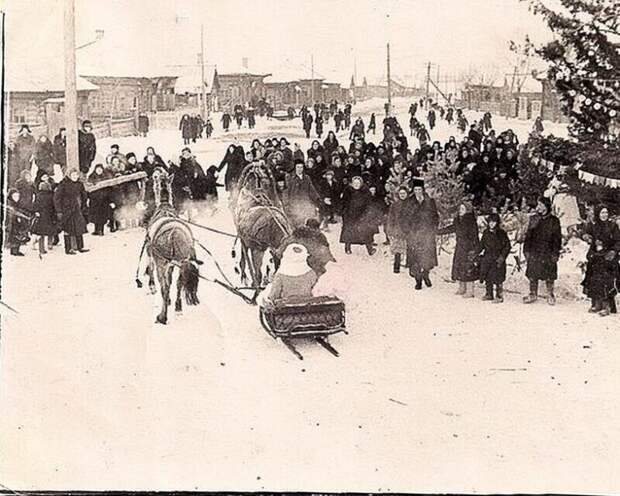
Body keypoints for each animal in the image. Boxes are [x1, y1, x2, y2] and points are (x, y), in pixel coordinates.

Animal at [136, 167, 201, 326]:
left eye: (153, 181)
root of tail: (174, 233)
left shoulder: (153, 255)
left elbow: (155, 274)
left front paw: (153, 286)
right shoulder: (171, 265)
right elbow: (172, 282)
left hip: (162, 262)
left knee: (164, 286)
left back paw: (162, 316)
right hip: (181, 263)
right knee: (179, 283)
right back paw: (178, 306)